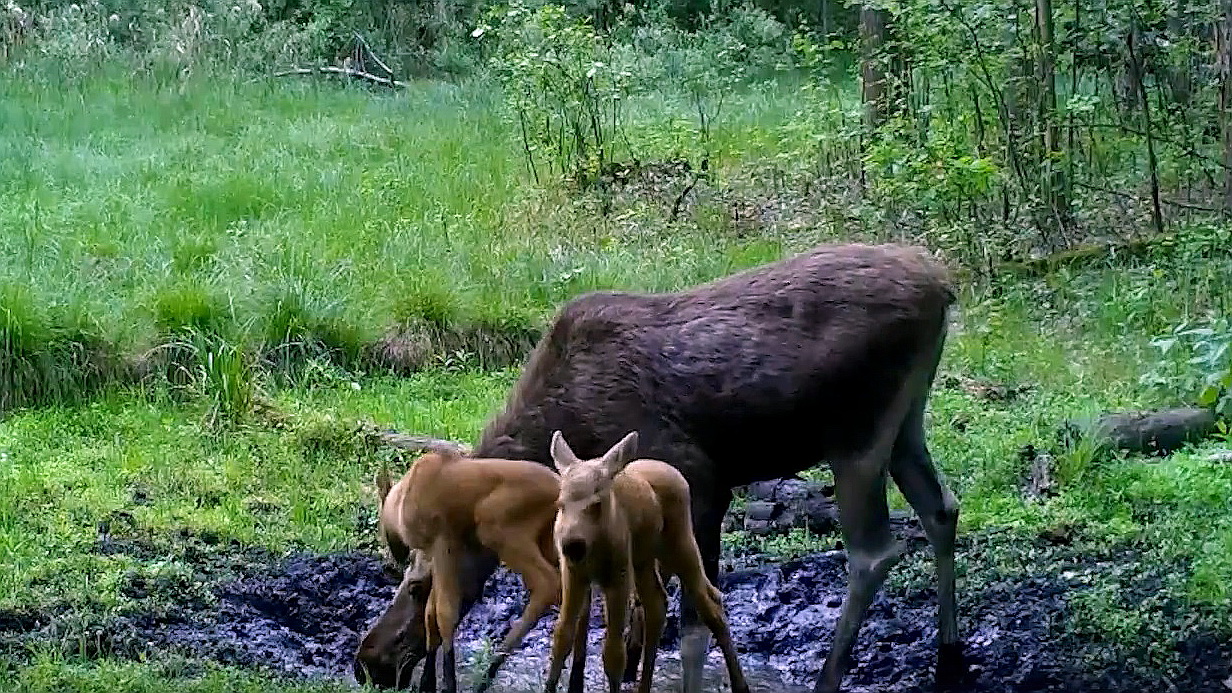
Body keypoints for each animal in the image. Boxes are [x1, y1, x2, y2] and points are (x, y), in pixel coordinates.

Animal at [357, 448, 586, 690]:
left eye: (413, 588)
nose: (364, 667)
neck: (399, 505)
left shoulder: (444, 542)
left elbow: (445, 612)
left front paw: (446, 683)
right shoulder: (444, 551)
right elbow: (431, 614)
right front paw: (428, 682)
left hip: (497, 529)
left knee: (548, 584)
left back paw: (490, 672)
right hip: (550, 541)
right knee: (580, 599)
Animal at [547, 426, 749, 690]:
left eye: (597, 503)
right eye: (560, 503)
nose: (571, 545)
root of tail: (673, 471)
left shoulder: (618, 574)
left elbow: (613, 652)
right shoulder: (573, 573)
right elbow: (562, 636)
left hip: (680, 545)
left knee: (709, 604)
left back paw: (740, 684)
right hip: (644, 559)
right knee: (658, 604)